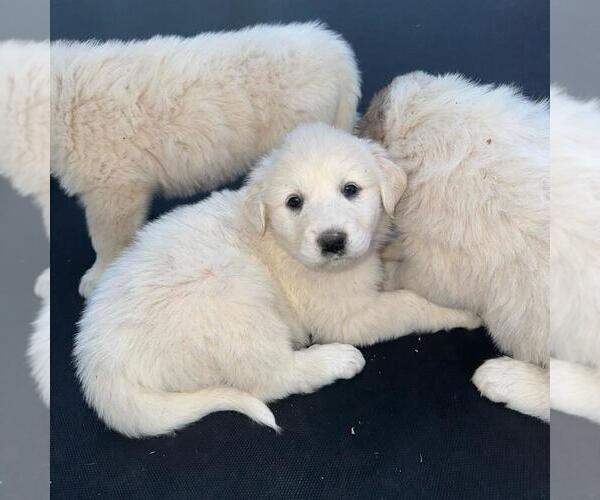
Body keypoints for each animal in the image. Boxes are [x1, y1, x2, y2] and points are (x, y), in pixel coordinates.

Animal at [75, 124, 480, 438]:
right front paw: (459, 311)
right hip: (233, 300)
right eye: (294, 202)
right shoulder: (346, 316)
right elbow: (409, 304)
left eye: (350, 189)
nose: (332, 242)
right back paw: (336, 360)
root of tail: (96, 364)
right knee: (273, 378)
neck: (276, 240)